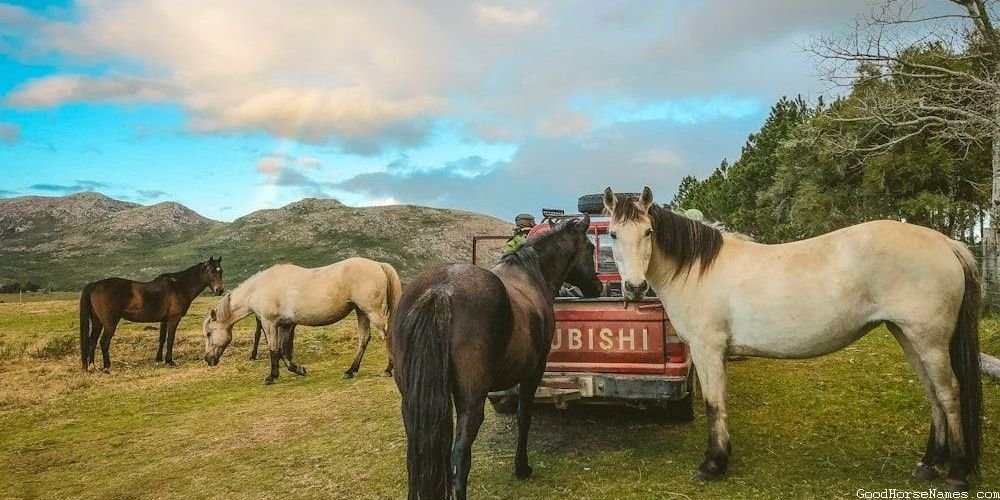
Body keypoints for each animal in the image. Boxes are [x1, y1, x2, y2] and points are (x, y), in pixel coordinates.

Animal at [80, 258, 225, 372]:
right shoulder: (173, 319)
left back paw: (91, 366)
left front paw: (158, 359)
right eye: (211, 271)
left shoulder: (164, 320)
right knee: (103, 342)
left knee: (92, 341)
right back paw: (106, 367)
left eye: (221, 271)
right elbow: (170, 339)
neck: (179, 286)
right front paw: (169, 361)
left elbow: (162, 338)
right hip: (110, 323)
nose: (219, 290)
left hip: (97, 322)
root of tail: (94, 285)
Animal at [201, 258, 400, 382]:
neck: (259, 288)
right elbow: (283, 350)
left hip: (371, 311)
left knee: (387, 333)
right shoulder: (286, 325)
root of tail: (378, 265)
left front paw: (271, 377)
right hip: (361, 312)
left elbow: (274, 349)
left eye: (209, 333)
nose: (208, 359)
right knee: (364, 339)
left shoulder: (269, 323)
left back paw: (387, 370)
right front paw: (298, 370)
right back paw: (350, 371)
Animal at [394, 216, 600, 500]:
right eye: (591, 248)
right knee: (460, 454)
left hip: (411, 401)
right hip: (472, 400)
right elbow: (524, 417)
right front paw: (522, 468)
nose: (598, 287)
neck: (531, 274)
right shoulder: (533, 372)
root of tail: (440, 290)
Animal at [600, 187, 984, 492]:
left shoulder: (707, 350)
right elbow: (720, 404)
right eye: (614, 235)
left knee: (949, 393)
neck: (697, 270)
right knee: (932, 394)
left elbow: (713, 405)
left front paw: (712, 465)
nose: (634, 288)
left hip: (929, 340)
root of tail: (945, 242)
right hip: (907, 336)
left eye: (648, 231)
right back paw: (929, 464)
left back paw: (957, 473)